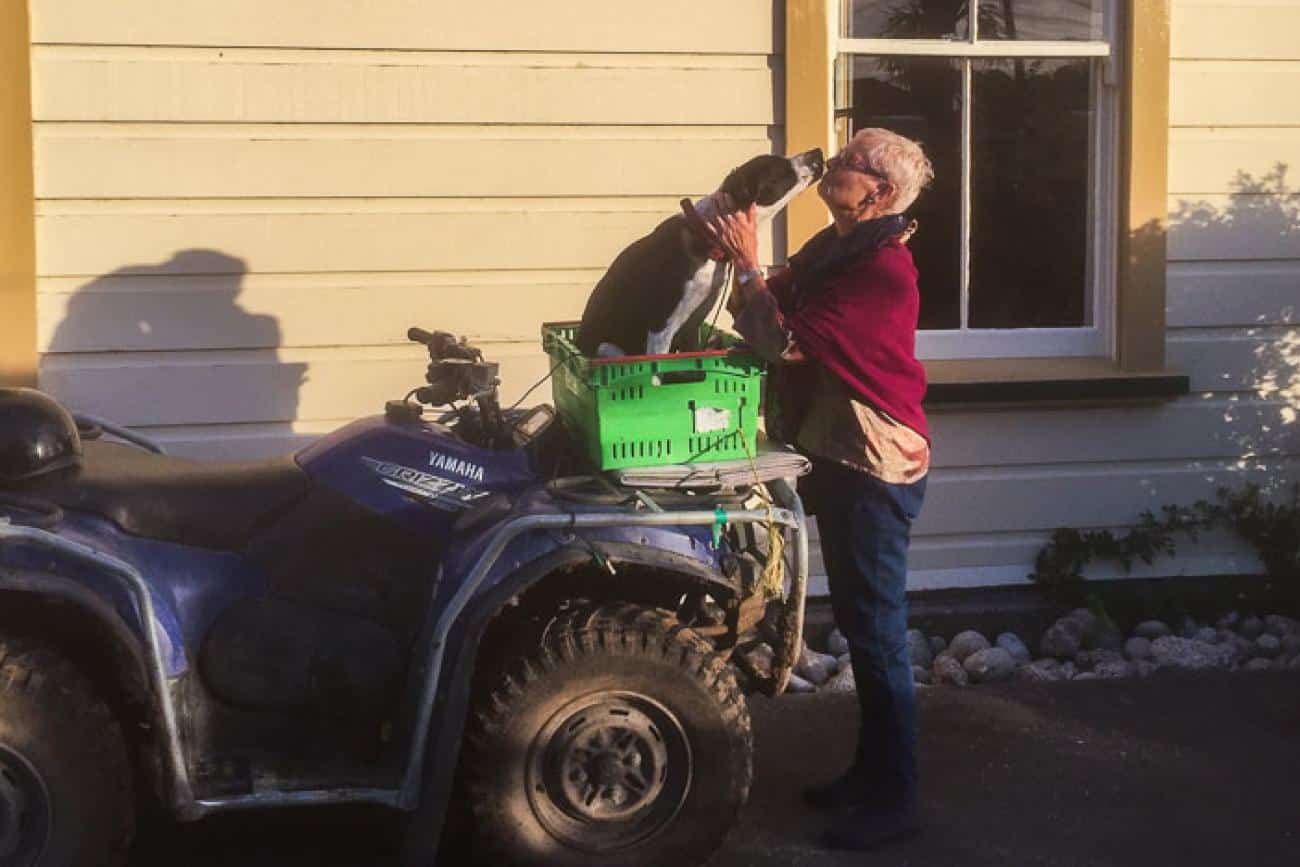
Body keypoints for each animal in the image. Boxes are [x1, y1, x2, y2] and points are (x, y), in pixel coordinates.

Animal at [577, 149, 821, 356]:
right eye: (782, 168)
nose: (818, 151)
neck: (706, 235)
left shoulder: (692, 326)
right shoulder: (660, 330)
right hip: (608, 348)